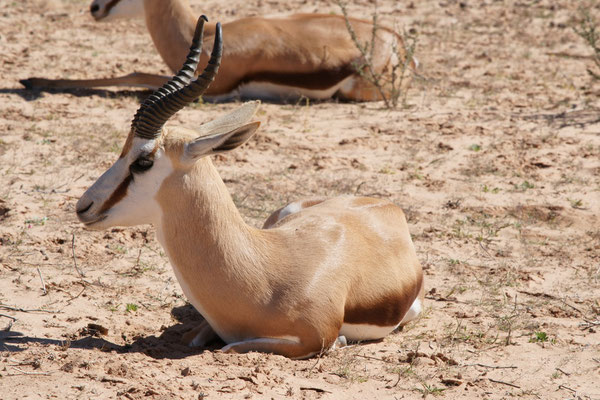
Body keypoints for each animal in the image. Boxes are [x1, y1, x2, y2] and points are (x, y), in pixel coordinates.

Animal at [76, 17, 422, 358]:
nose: (84, 207)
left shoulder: (315, 339)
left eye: (143, 161)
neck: (263, 277)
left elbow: (232, 347)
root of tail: (387, 206)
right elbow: (198, 336)